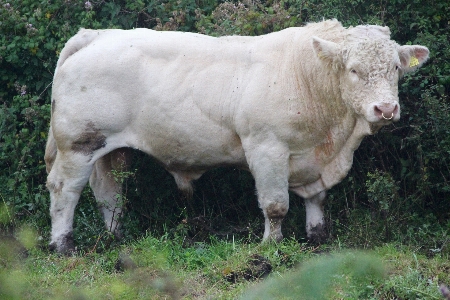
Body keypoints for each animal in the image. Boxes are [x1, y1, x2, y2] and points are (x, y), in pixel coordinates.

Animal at [45, 19, 428, 253]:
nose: (386, 109)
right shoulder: (266, 148)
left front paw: (317, 237)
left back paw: (116, 238)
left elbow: (317, 199)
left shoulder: (313, 160)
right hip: (78, 144)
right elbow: (275, 205)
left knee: (109, 192)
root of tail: (97, 34)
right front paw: (271, 247)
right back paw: (64, 245)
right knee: (65, 189)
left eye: (396, 67)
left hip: (109, 149)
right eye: (354, 70)